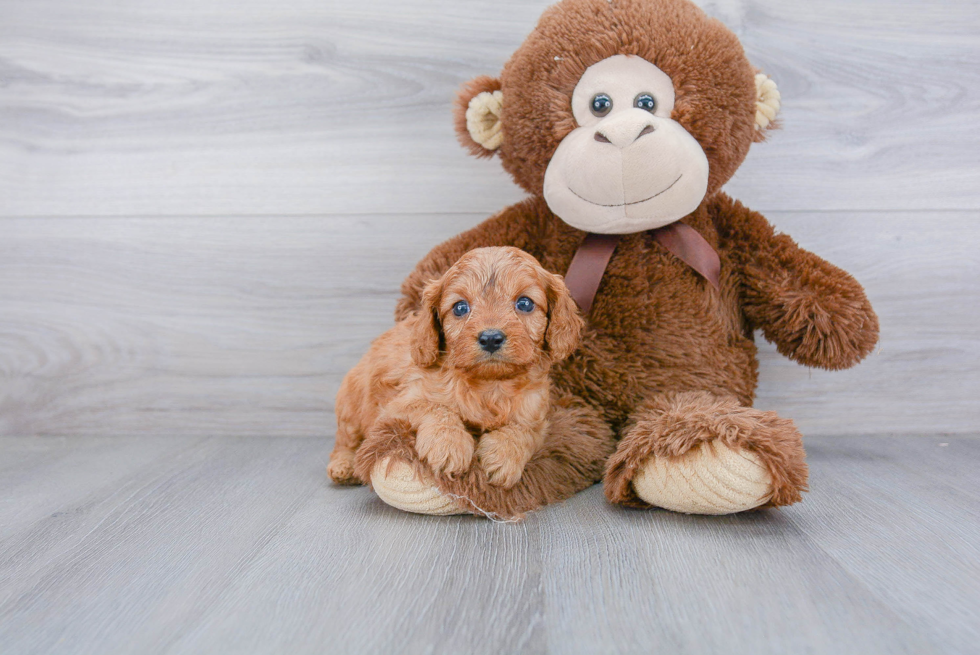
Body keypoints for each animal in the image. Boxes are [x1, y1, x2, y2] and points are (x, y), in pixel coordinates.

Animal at [328, 249, 580, 490]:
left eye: (525, 303)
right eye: (460, 307)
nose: (490, 338)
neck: (490, 384)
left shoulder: (536, 417)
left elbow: (523, 430)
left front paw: (504, 455)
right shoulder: (397, 404)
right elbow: (435, 408)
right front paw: (449, 445)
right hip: (350, 404)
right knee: (344, 441)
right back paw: (343, 466)